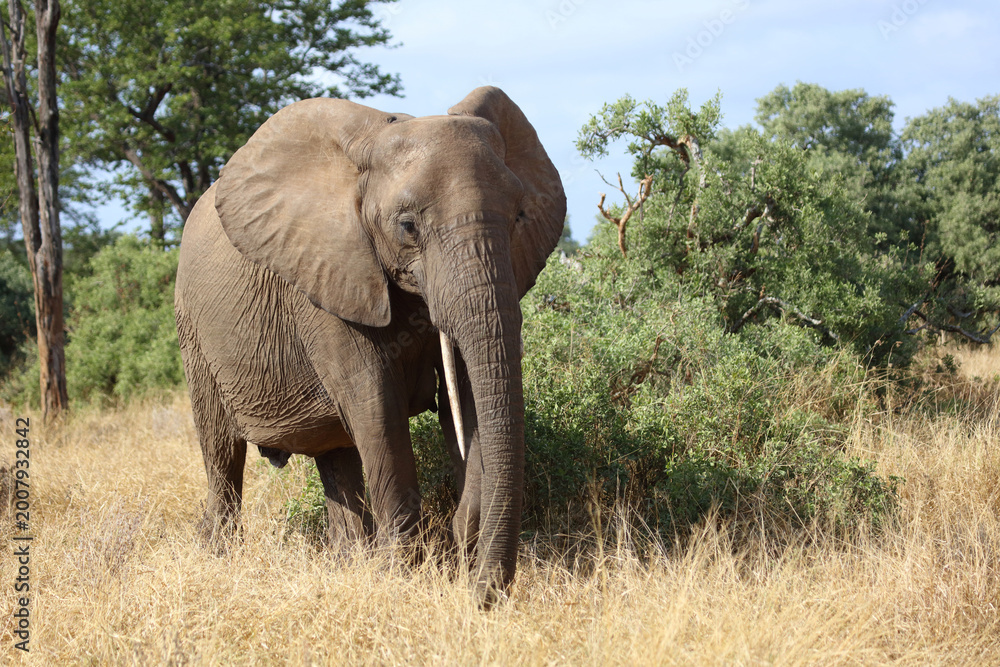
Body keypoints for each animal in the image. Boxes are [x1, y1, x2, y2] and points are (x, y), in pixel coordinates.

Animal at [173, 86, 566, 605]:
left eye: (520, 215)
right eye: (407, 226)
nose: (481, 598)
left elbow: (467, 400)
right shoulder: (326, 283)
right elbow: (375, 405)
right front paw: (401, 576)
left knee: (335, 457)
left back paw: (348, 564)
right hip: (193, 331)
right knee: (222, 452)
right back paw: (218, 555)